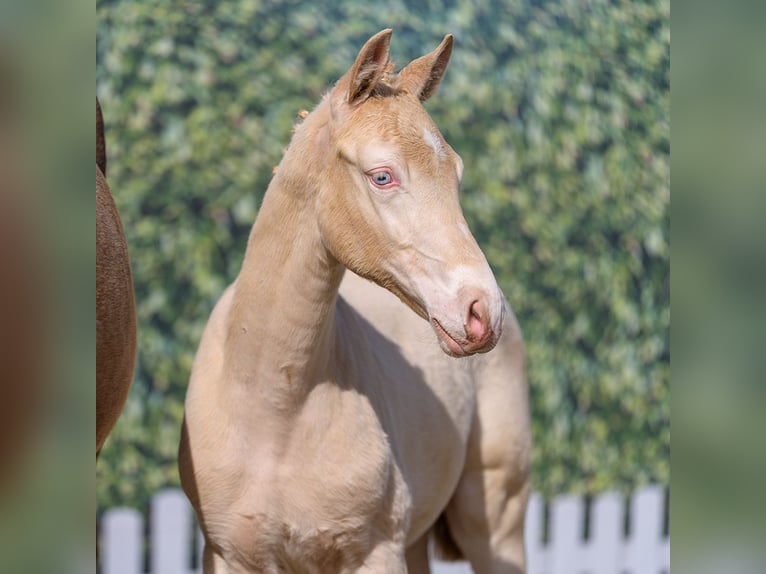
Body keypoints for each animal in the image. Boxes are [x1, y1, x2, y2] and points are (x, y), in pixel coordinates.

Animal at [179, 30, 531, 573]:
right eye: (382, 176)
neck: (273, 407)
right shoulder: (227, 554)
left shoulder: (375, 551)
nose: (481, 310)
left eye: (456, 174)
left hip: (494, 519)